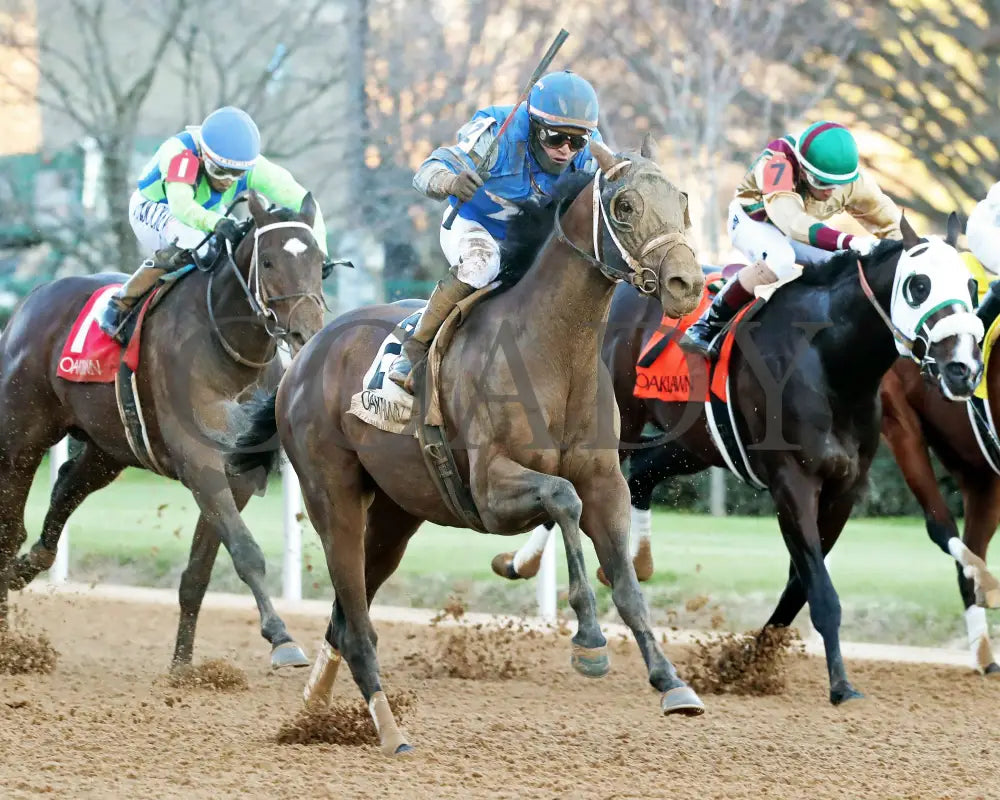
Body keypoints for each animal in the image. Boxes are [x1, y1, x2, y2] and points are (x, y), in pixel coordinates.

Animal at [0, 189, 324, 668]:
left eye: (320, 260)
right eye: (267, 262)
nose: (307, 331)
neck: (230, 355)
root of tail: (33, 297)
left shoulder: (238, 475)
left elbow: (199, 573)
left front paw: (183, 667)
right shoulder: (200, 463)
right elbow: (246, 551)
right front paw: (282, 638)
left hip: (107, 450)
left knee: (63, 492)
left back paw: (25, 568)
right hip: (21, 436)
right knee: (10, 527)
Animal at [229, 139, 712, 756]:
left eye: (682, 199)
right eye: (624, 205)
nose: (686, 283)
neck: (555, 354)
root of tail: (307, 353)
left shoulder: (606, 483)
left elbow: (626, 581)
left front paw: (672, 682)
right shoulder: (489, 492)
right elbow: (562, 499)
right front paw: (587, 639)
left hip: (395, 515)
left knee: (344, 613)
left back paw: (313, 708)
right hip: (331, 496)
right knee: (357, 622)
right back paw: (390, 731)